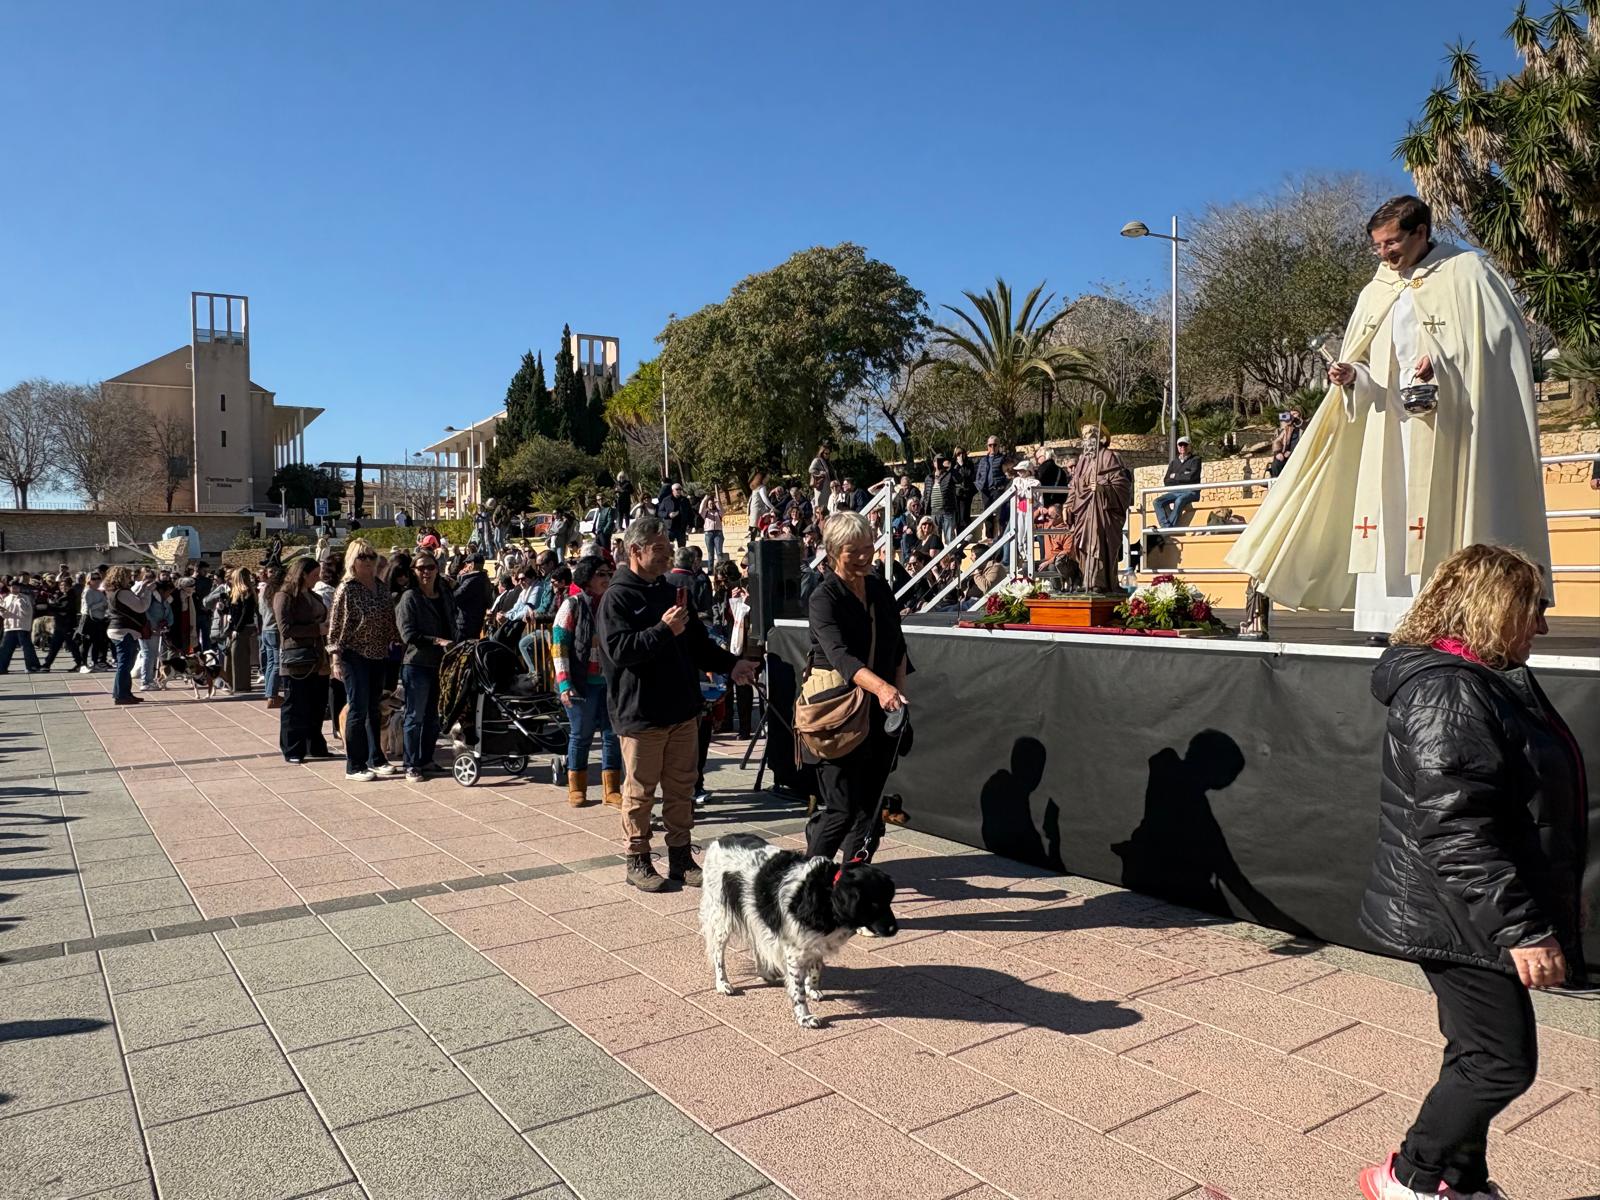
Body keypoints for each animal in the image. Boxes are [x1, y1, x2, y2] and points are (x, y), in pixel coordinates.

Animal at [700, 838, 902, 1036]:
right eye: (874, 904)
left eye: (889, 900)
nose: (894, 929)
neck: (826, 894)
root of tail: (719, 841)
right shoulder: (794, 953)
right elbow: (798, 990)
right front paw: (804, 1017)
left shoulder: (815, 942)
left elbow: (816, 968)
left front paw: (813, 989)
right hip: (722, 918)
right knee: (718, 954)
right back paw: (723, 984)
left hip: (753, 912)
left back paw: (765, 972)